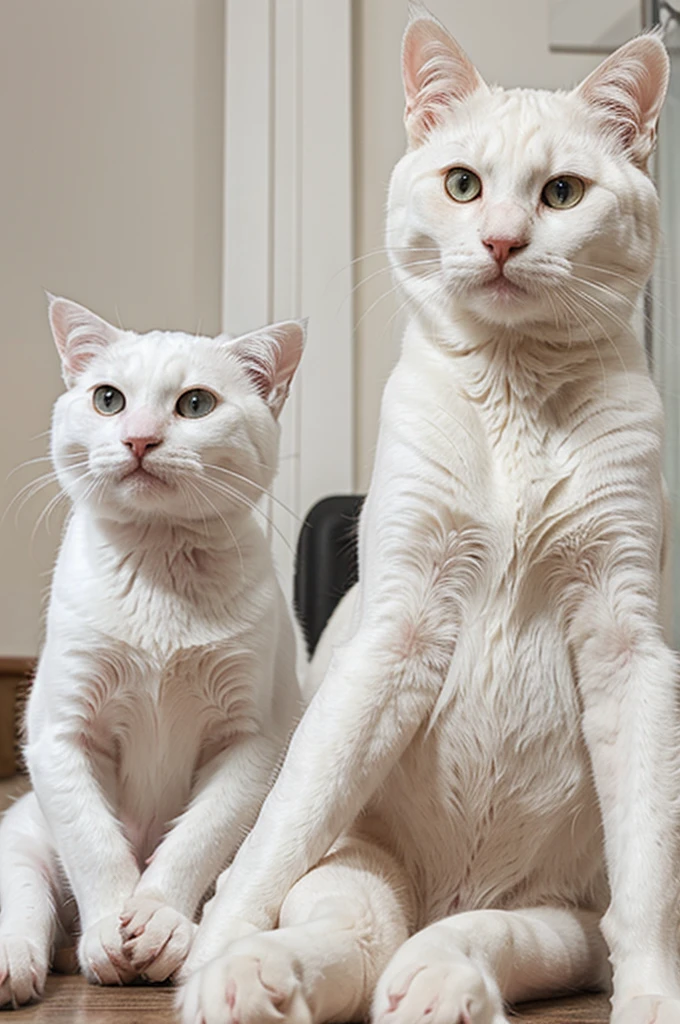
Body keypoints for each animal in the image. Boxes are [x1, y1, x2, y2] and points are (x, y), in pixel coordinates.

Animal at [0, 296, 303, 1007]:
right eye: (108, 399)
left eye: (196, 404)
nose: (138, 438)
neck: (160, 574)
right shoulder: (59, 734)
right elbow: (95, 846)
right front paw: (112, 924)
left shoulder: (254, 741)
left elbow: (196, 839)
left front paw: (160, 919)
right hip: (23, 839)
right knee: (26, 898)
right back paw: (18, 958)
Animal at [178, 8, 680, 1024]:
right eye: (463, 184)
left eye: (562, 193)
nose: (502, 241)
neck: (518, 397)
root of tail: (444, 894)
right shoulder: (398, 628)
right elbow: (272, 841)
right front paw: (209, 960)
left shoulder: (628, 640)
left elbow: (649, 880)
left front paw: (654, 1000)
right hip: (356, 867)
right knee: (346, 936)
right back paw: (257, 975)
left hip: (563, 915)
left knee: (494, 937)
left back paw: (441, 984)